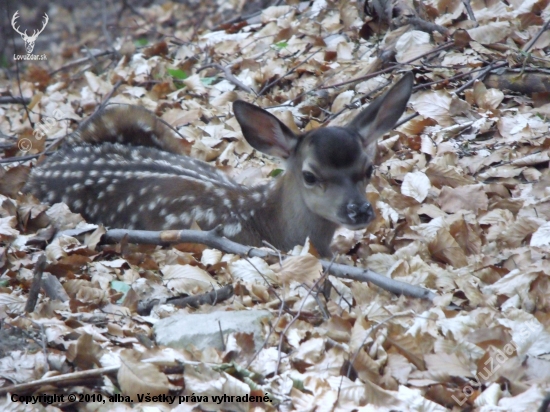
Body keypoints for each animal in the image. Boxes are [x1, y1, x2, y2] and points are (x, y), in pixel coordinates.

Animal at [25, 72, 414, 256]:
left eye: (368, 169)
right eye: (310, 175)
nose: (359, 211)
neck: (265, 222)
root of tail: (37, 172)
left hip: (127, 115)